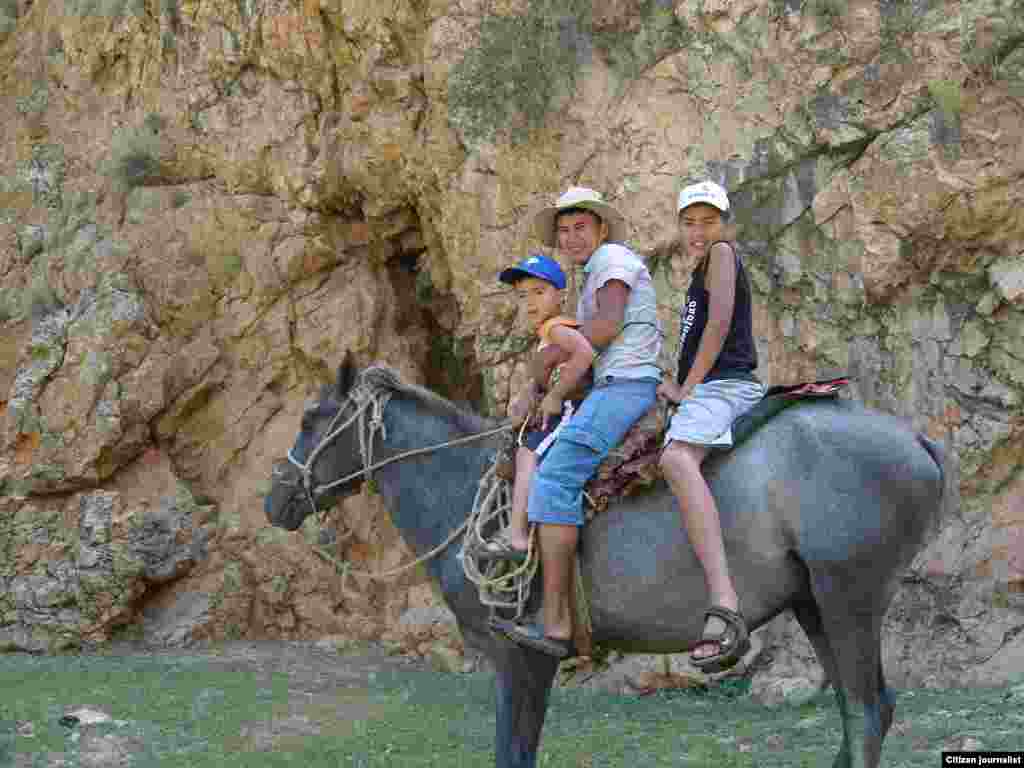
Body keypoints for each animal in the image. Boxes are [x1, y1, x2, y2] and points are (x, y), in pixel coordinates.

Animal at [262, 360, 942, 768]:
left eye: (309, 418)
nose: (275, 499)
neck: (462, 483)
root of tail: (915, 441)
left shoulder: (522, 656)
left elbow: (514, 753)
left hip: (849, 599)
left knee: (866, 711)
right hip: (814, 604)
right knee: (860, 711)